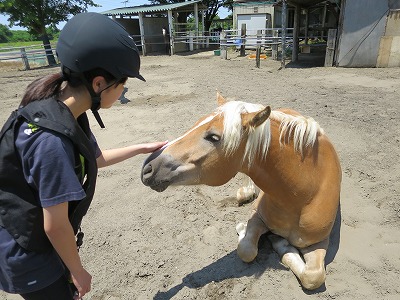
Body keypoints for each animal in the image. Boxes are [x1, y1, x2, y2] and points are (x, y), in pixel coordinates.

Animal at [141, 92, 340, 290]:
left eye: (213, 137)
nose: (147, 168)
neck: (302, 196)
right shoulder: (257, 216)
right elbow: (246, 250)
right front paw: (260, 235)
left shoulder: (319, 242)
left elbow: (313, 277)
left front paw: (281, 244)